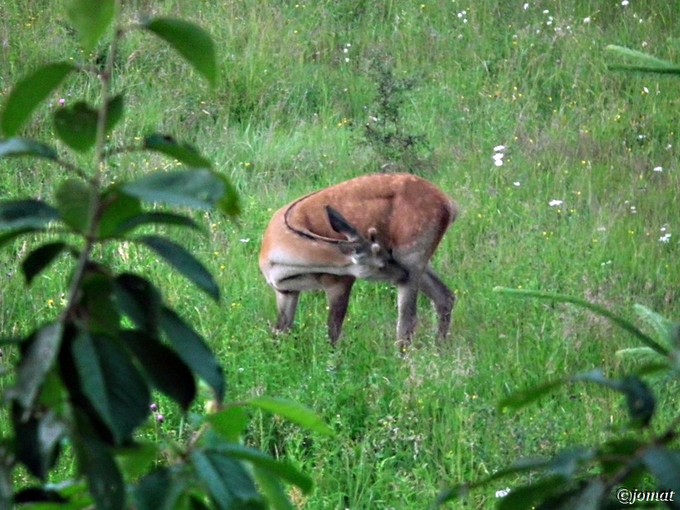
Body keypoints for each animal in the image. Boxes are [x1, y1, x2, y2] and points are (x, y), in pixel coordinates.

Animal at [258, 172, 460, 350]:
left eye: (385, 254)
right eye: (382, 262)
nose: (401, 273)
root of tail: (450, 205)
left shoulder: (340, 280)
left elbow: (333, 333)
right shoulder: (285, 291)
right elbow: (280, 332)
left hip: (413, 253)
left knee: (407, 321)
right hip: (420, 262)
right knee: (444, 297)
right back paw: (439, 348)